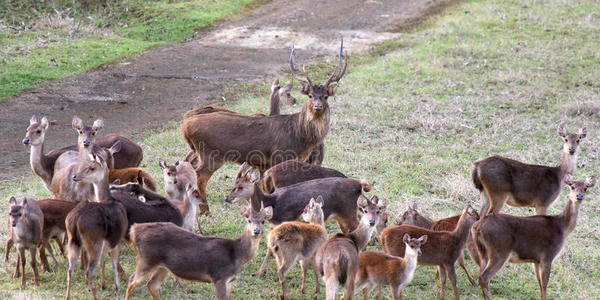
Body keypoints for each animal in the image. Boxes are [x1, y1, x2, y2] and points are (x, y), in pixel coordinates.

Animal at [64, 152, 127, 300]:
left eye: (91, 167)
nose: (75, 176)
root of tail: (74, 220)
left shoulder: (106, 244)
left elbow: (103, 263)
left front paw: (104, 285)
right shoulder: (116, 240)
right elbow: (114, 263)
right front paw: (118, 287)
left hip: (73, 241)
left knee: (70, 269)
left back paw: (68, 296)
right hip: (93, 241)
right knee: (89, 271)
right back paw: (96, 296)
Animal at [125, 204, 274, 300]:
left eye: (263, 221)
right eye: (249, 220)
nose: (256, 231)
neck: (237, 255)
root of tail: (134, 230)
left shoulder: (229, 281)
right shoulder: (219, 276)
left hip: (162, 267)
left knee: (151, 285)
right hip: (146, 260)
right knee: (131, 281)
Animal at [180, 40, 344, 199]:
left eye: (326, 96)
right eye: (310, 95)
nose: (318, 107)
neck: (299, 135)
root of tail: (185, 125)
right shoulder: (280, 156)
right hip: (210, 154)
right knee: (198, 178)